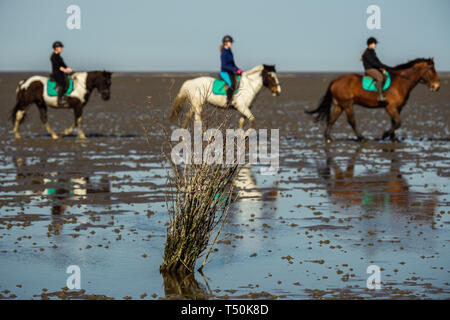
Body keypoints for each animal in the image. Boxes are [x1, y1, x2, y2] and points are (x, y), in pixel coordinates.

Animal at [306, 57, 440, 142]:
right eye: (431, 71)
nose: (437, 86)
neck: (401, 82)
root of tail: (335, 80)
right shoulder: (390, 107)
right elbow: (398, 122)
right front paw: (385, 135)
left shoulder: (398, 108)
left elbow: (394, 122)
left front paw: (393, 138)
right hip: (348, 105)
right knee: (351, 121)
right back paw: (361, 138)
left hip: (340, 105)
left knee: (331, 120)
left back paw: (328, 137)